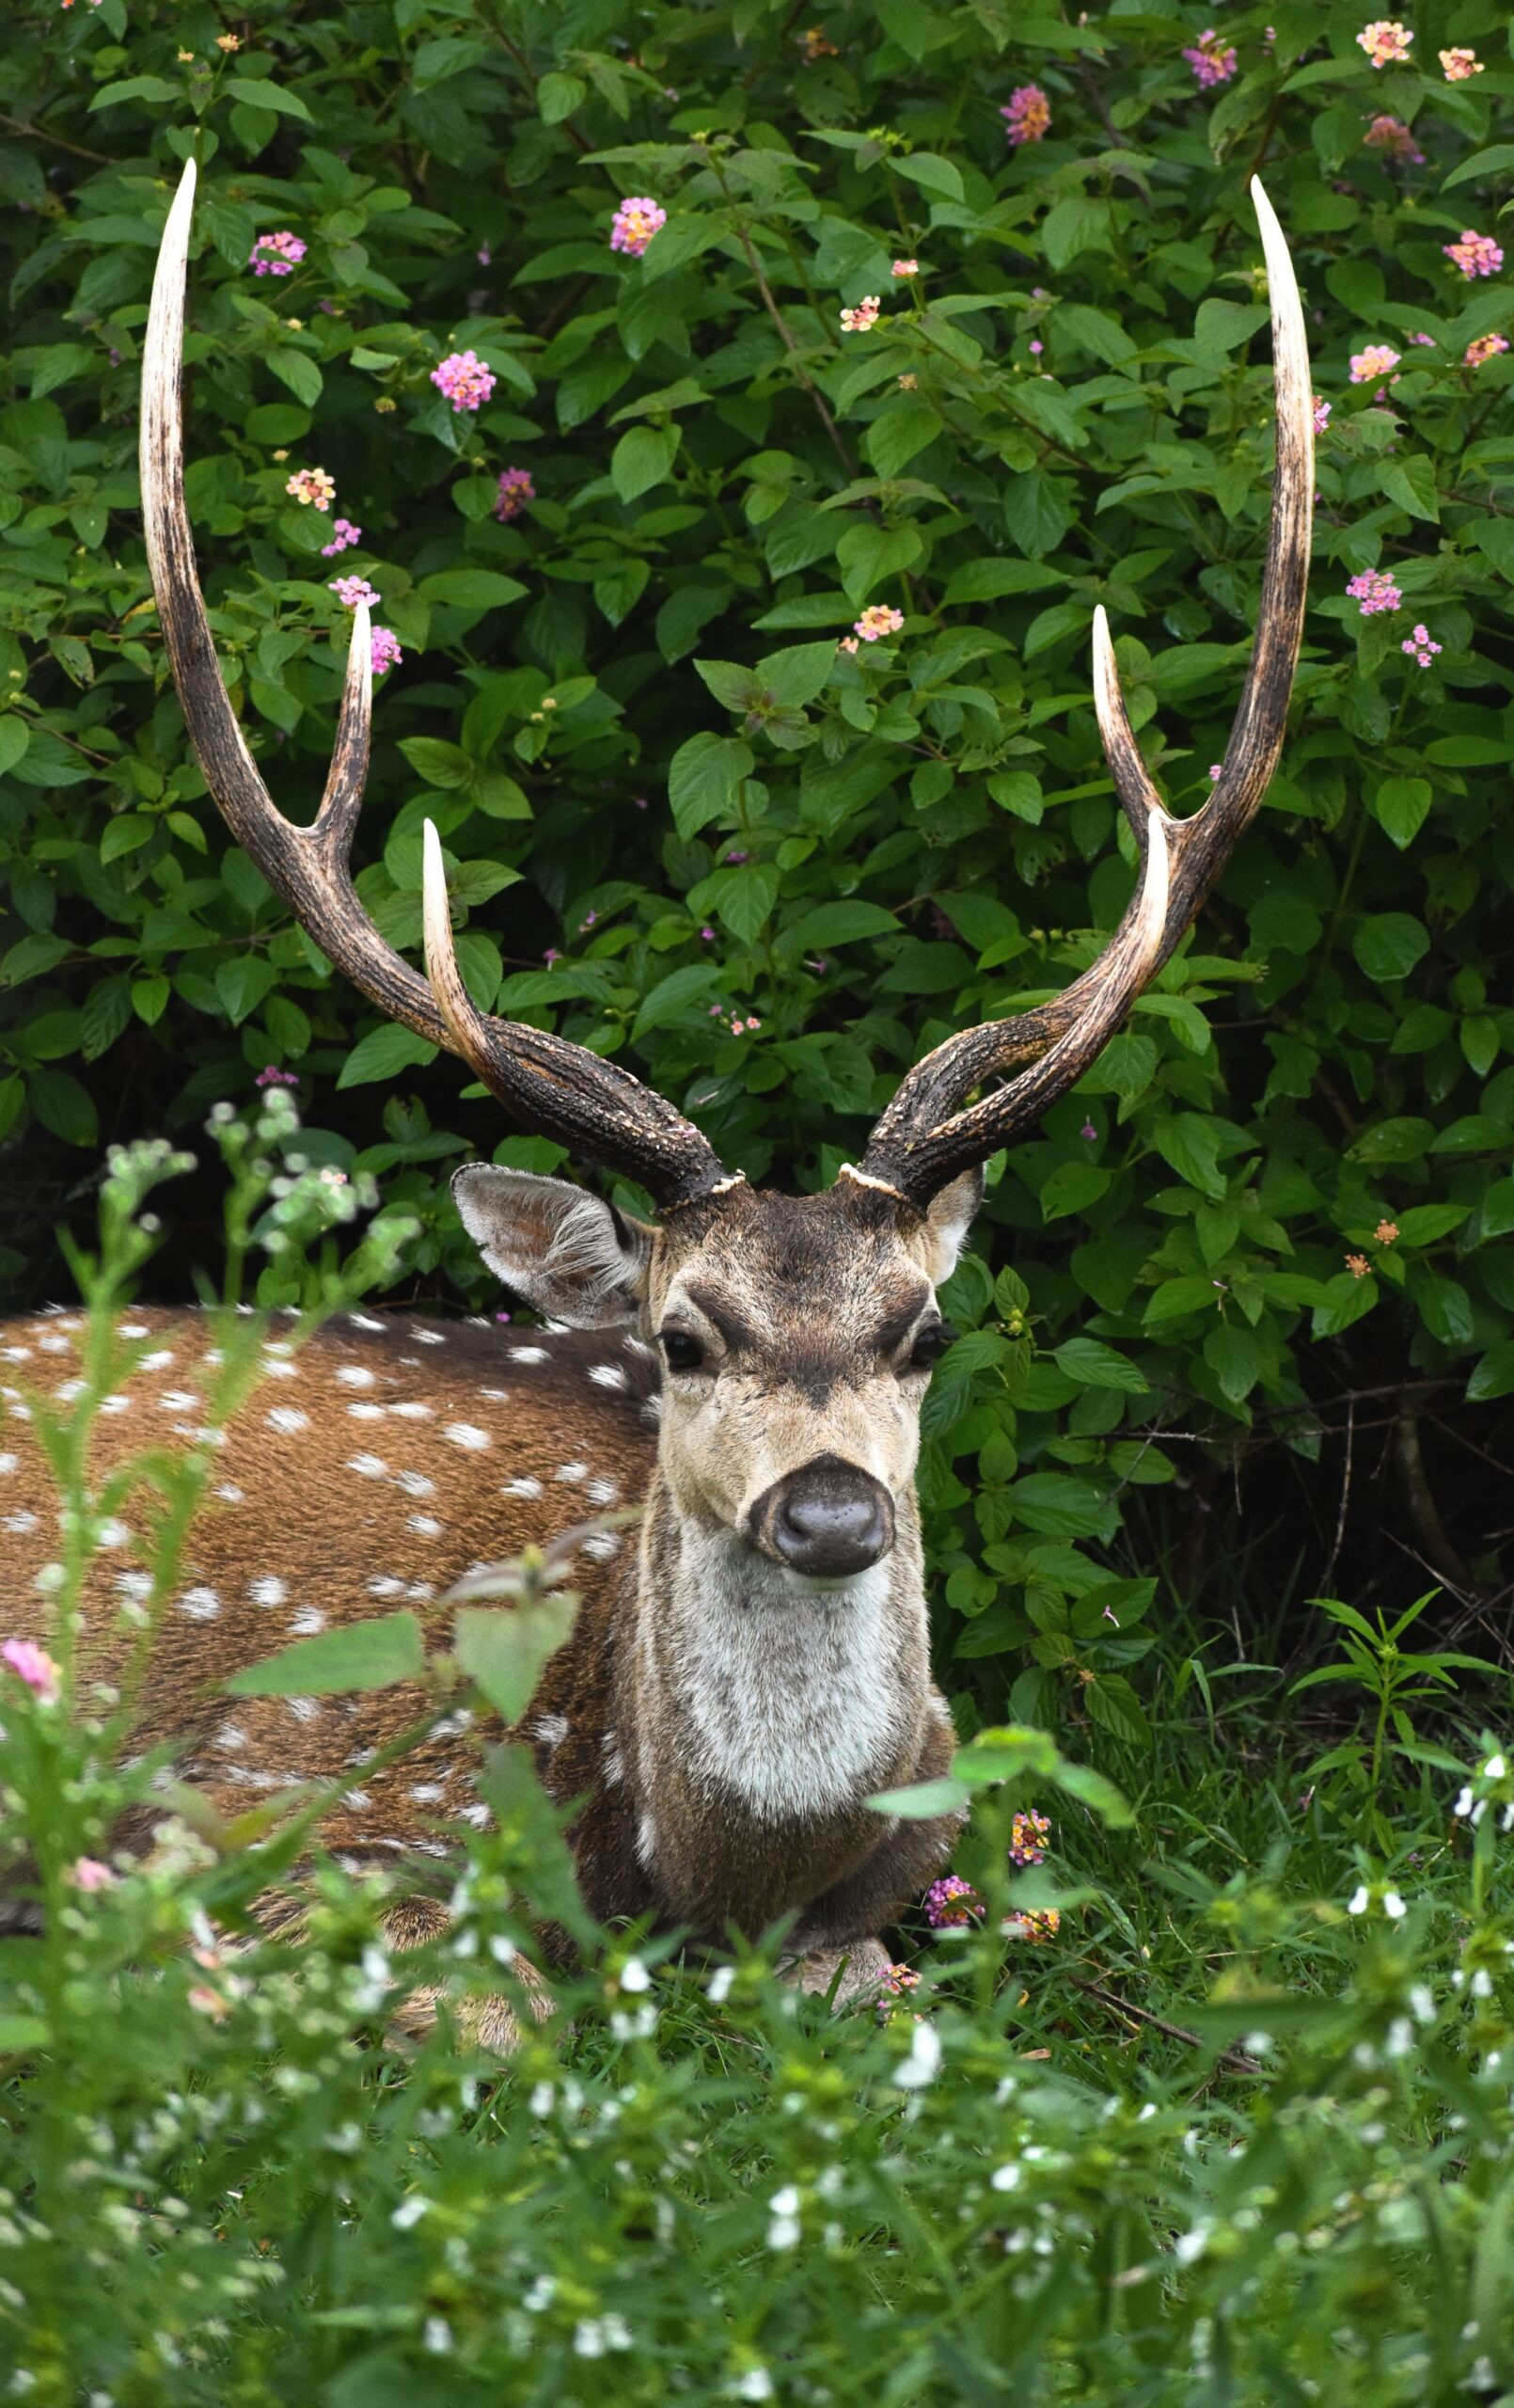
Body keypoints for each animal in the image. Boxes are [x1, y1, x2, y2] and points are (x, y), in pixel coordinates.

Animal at [0, 163, 1311, 2032]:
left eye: (923, 1330)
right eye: (682, 1338)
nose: (830, 1510)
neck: (685, 1870)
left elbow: (880, 1982)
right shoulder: (265, 1805)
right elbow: (477, 2006)